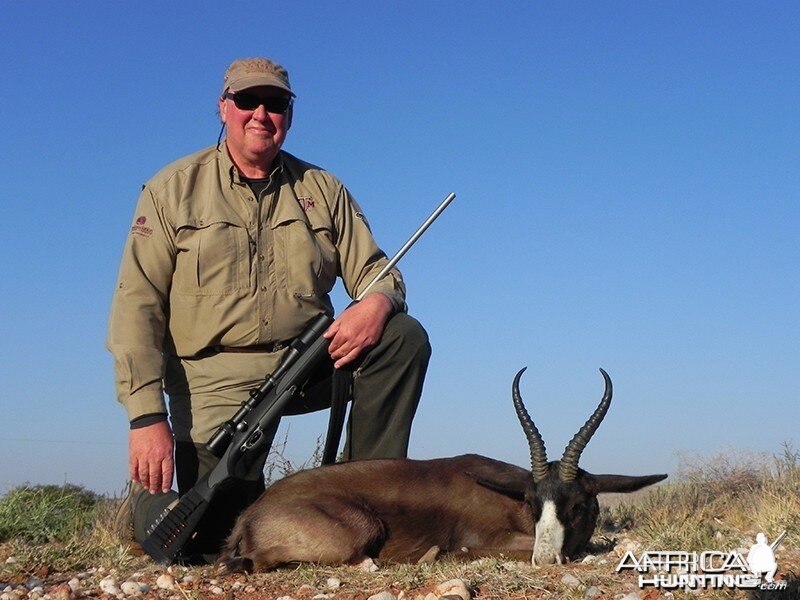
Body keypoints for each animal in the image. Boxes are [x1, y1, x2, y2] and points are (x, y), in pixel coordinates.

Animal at [219, 366, 668, 572]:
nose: (544, 559)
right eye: (531, 501)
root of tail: (249, 515)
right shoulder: (486, 539)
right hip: (358, 530)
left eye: (576, 505)